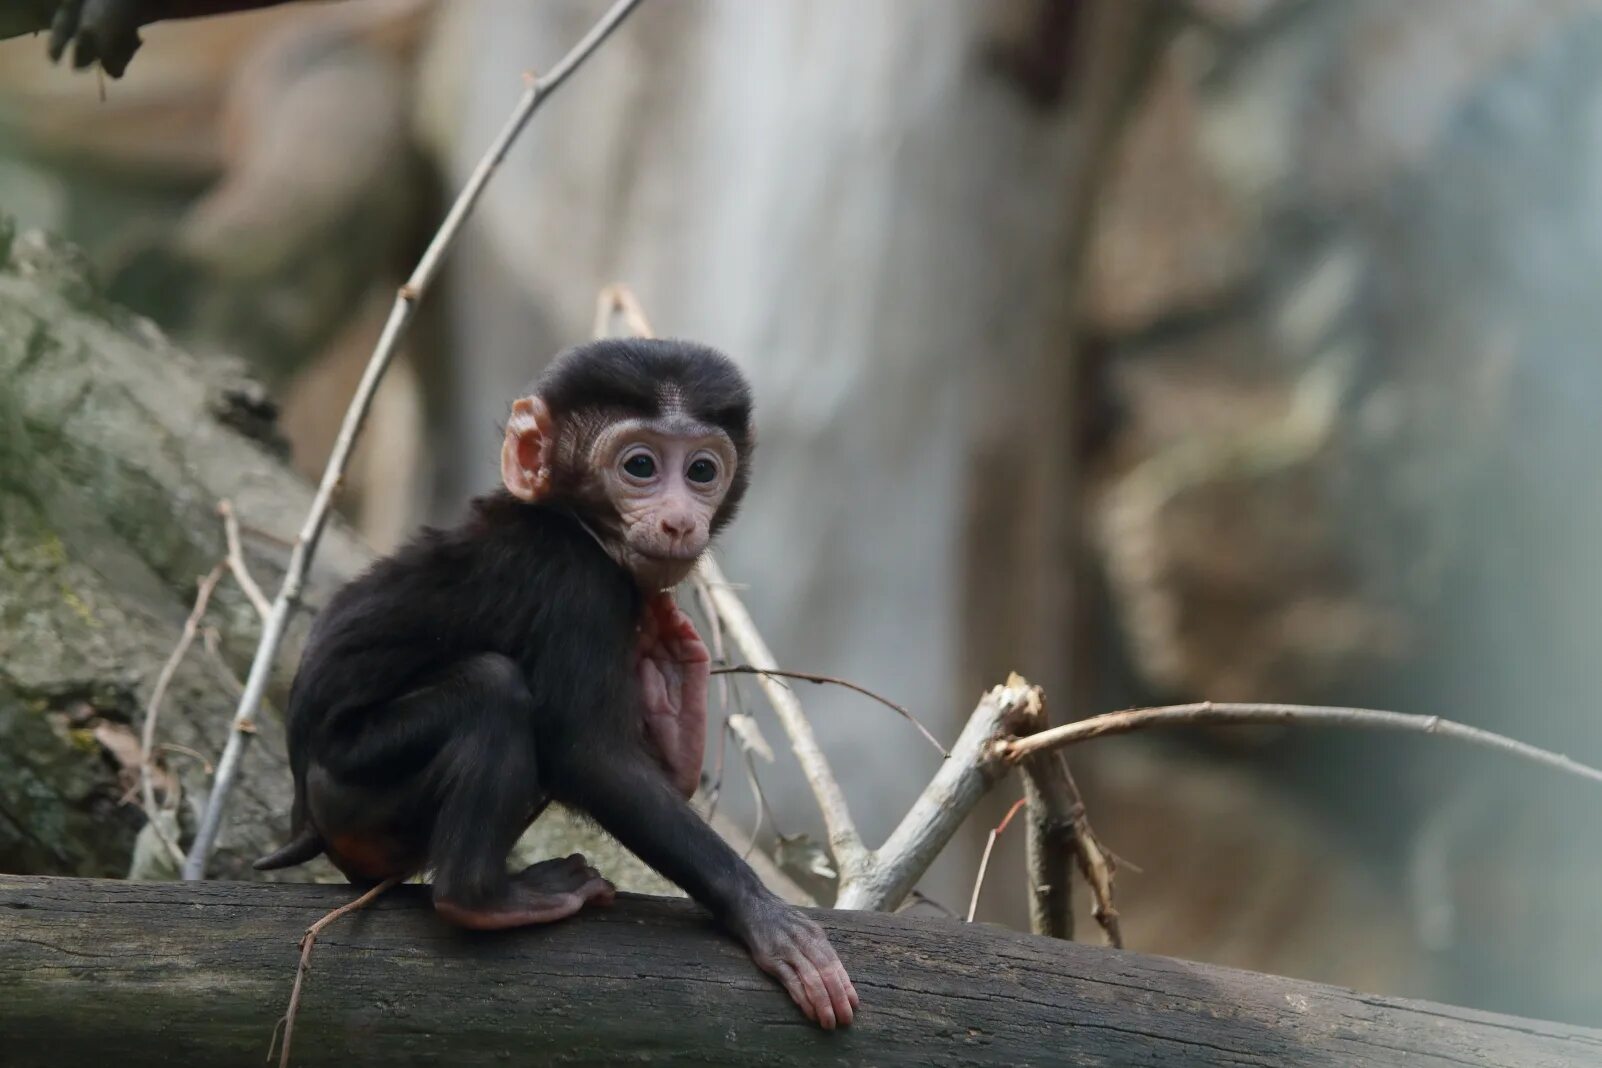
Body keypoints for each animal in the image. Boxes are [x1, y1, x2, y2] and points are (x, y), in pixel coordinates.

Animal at [259, 341, 865, 1024]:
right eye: (640, 466)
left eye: (703, 471)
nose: (681, 521)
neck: (575, 524)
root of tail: (305, 811)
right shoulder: (577, 584)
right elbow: (591, 757)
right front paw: (763, 918)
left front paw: (669, 679)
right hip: (356, 776)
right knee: (491, 690)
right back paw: (484, 898)